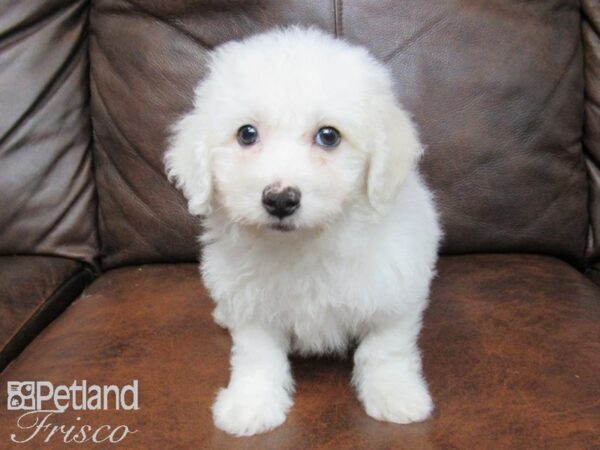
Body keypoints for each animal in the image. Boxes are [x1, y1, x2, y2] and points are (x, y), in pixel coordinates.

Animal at [164, 27, 440, 436]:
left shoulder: (395, 289)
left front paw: (395, 395)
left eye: (329, 136)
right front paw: (251, 404)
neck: (305, 243)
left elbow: (385, 349)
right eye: (247, 134)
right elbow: (257, 355)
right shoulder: (251, 303)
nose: (280, 199)